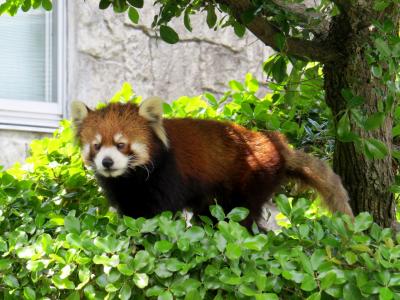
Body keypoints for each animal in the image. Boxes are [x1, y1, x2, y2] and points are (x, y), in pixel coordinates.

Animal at [72, 96, 354, 227]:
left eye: (121, 144)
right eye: (96, 146)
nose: (107, 162)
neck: (132, 178)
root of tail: (276, 143)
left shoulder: (167, 177)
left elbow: (162, 212)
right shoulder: (123, 189)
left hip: (252, 177)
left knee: (240, 214)